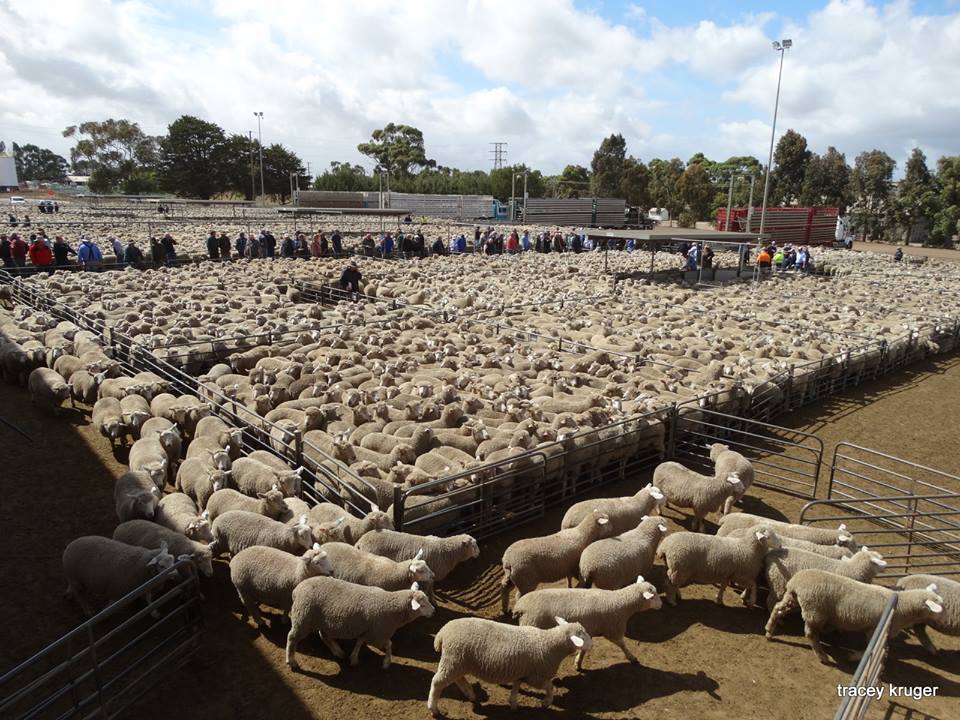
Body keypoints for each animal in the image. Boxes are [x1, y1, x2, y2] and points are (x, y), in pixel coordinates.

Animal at [285, 576, 435, 671]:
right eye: (422, 605)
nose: (434, 611)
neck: (391, 607)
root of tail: (296, 590)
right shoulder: (378, 634)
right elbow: (389, 644)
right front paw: (386, 663)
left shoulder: (368, 630)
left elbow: (359, 642)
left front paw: (353, 658)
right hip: (303, 618)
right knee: (292, 638)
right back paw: (291, 661)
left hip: (322, 621)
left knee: (324, 635)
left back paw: (338, 651)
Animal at [427, 617, 592, 714]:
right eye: (582, 636)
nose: (592, 644)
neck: (549, 643)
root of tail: (442, 633)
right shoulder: (536, 677)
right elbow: (550, 687)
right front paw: (546, 703)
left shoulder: (522, 671)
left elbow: (516, 687)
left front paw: (513, 704)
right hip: (453, 658)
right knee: (437, 682)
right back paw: (433, 708)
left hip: (457, 662)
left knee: (458, 679)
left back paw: (471, 694)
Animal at [513, 576, 662, 670]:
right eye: (653, 596)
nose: (661, 605)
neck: (621, 602)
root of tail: (520, 606)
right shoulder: (613, 629)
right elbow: (622, 644)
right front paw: (632, 657)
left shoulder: (588, 630)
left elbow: (584, 650)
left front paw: (578, 663)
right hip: (531, 624)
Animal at [765, 569, 944, 665]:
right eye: (938, 609)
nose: (942, 622)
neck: (901, 606)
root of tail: (796, 581)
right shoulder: (874, 629)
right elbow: (875, 649)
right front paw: (854, 657)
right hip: (815, 611)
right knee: (811, 634)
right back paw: (822, 656)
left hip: (793, 599)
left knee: (777, 609)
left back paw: (769, 631)